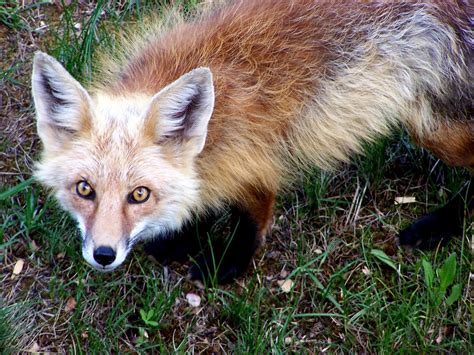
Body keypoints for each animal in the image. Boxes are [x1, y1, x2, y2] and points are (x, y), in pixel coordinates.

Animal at [31, 0, 472, 284]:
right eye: (84, 190)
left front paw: (228, 261)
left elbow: (253, 215)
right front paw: (184, 235)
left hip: (434, 129)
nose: (104, 255)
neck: (215, 118)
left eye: (138, 194)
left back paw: (442, 224)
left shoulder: (253, 154)